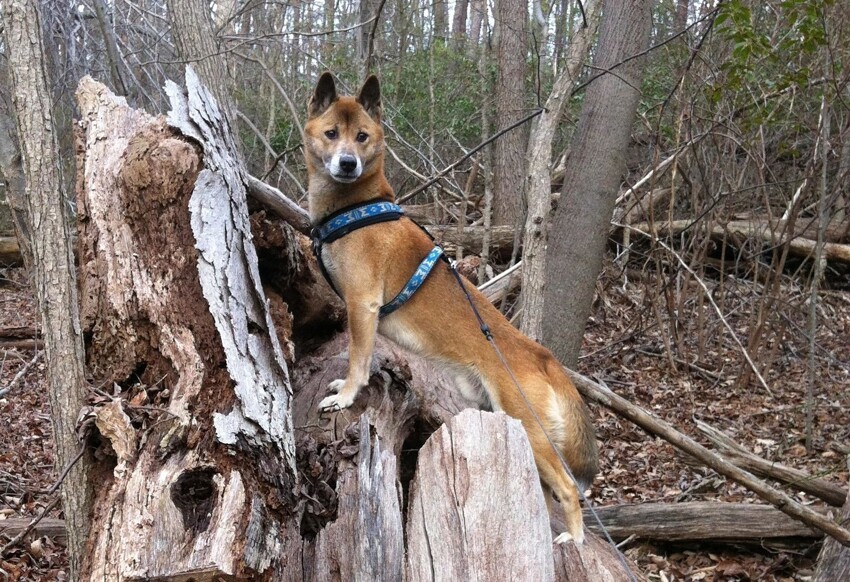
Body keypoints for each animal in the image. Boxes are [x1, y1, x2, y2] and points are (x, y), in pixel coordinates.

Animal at [304, 73, 596, 548]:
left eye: (361, 137)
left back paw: (573, 537)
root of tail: (542, 356)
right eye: (332, 133)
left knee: (569, 487)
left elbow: (358, 360)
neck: (355, 208)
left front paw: (346, 395)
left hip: (529, 428)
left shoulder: (362, 304)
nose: (347, 164)